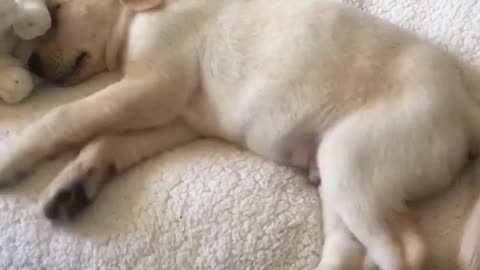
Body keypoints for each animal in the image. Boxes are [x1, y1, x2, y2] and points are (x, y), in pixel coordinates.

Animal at [2, 0, 480, 268]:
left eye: (55, 11)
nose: (32, 67)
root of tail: (464, 103)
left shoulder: (154, 86)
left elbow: (66, 116)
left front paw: (11, 157)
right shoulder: (174, 114)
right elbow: (107, 139)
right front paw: (73, 183)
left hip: (350, 159)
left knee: (406, 252)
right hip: (340, 177)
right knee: (349, 251)